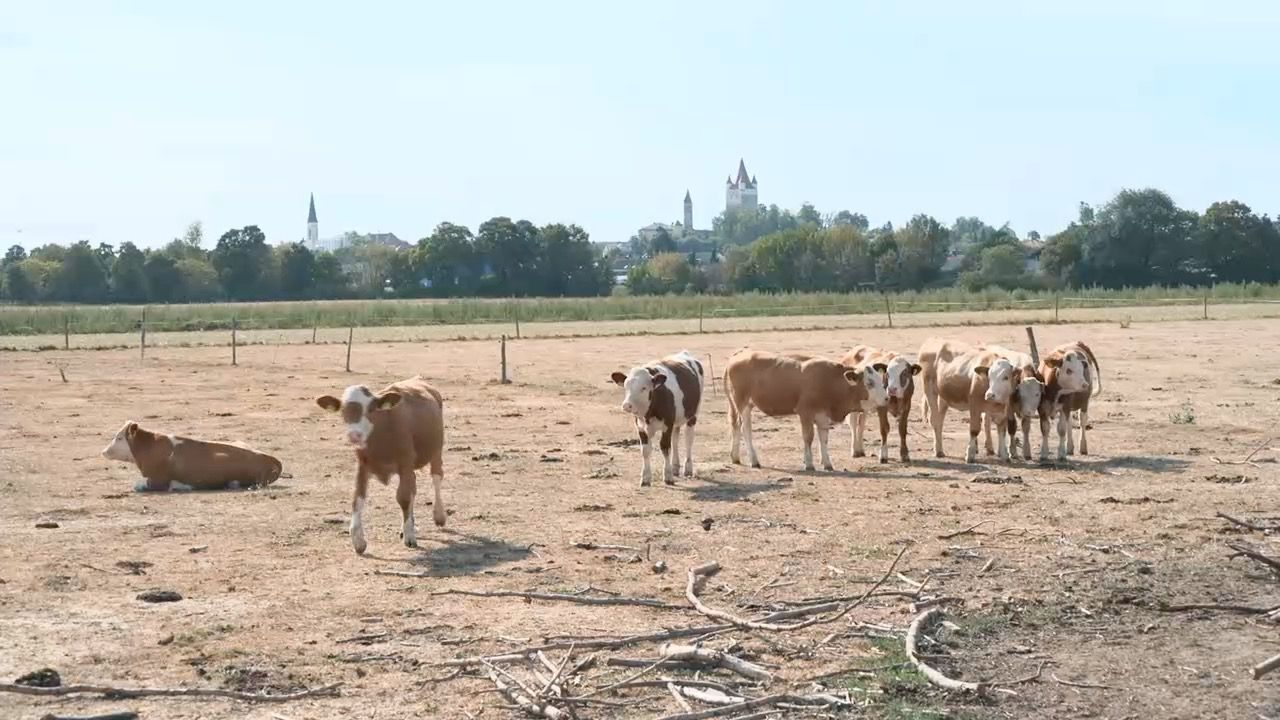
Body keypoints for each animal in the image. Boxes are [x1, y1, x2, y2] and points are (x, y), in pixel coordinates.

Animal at [101, 421, 283, 492]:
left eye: (119, 438)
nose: (104, 451)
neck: (150, 445)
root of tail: (270, 458)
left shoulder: (158, 480)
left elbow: (137, 484)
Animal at [315, 376, 445, 555]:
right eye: (343, 411)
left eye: (371, 409)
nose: (354, 435)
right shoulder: (362, 466)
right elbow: (357, 498)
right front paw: (358, 540)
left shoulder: (405, 463)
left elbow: (404, 497)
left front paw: (409, 535)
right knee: (414, 489)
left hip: (436, 451)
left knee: (436, 478)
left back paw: (439, 515)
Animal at [610, 351, 705, 486]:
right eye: (626, 387)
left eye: (644, 388)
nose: (627, 405)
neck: (649, 413)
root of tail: (685, 353)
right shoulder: (640, 426)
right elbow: (645, 450)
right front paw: (645, 478)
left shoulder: (667, 425)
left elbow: (665, 447)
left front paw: (668, 476)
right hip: (676, 420)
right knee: (675, 439)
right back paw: (675, 467)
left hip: (693, 415)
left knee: (688, 439)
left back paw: (688, 468)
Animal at [725, 349, 887, 472]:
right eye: (869, 383)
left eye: (881, 380)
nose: (886, 398)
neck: (830, 381)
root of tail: (738, 355)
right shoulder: (805, 412)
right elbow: (808, 437)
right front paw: (809, 463)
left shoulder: (823, 415)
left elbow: (824, 439)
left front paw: (827, 463)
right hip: (743, 404)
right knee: (745, 430)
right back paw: (754, 460)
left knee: (736, 426)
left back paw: (735, 457)